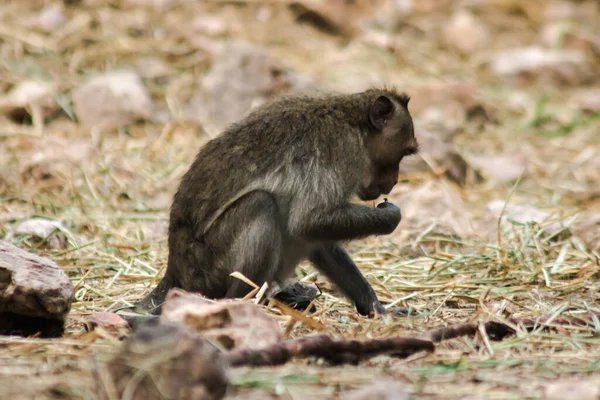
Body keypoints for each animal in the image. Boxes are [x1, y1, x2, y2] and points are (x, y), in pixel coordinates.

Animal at [137, 88, 420, 318]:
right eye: (404, 152)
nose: (393, 182)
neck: (354, 123)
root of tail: (175, 270)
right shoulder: (345, 152)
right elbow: (308, 222)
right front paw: (391, 217)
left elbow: (318, 239)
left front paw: (375, 308)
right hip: (206, 266)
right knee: (261, 204)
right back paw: (244, 303)